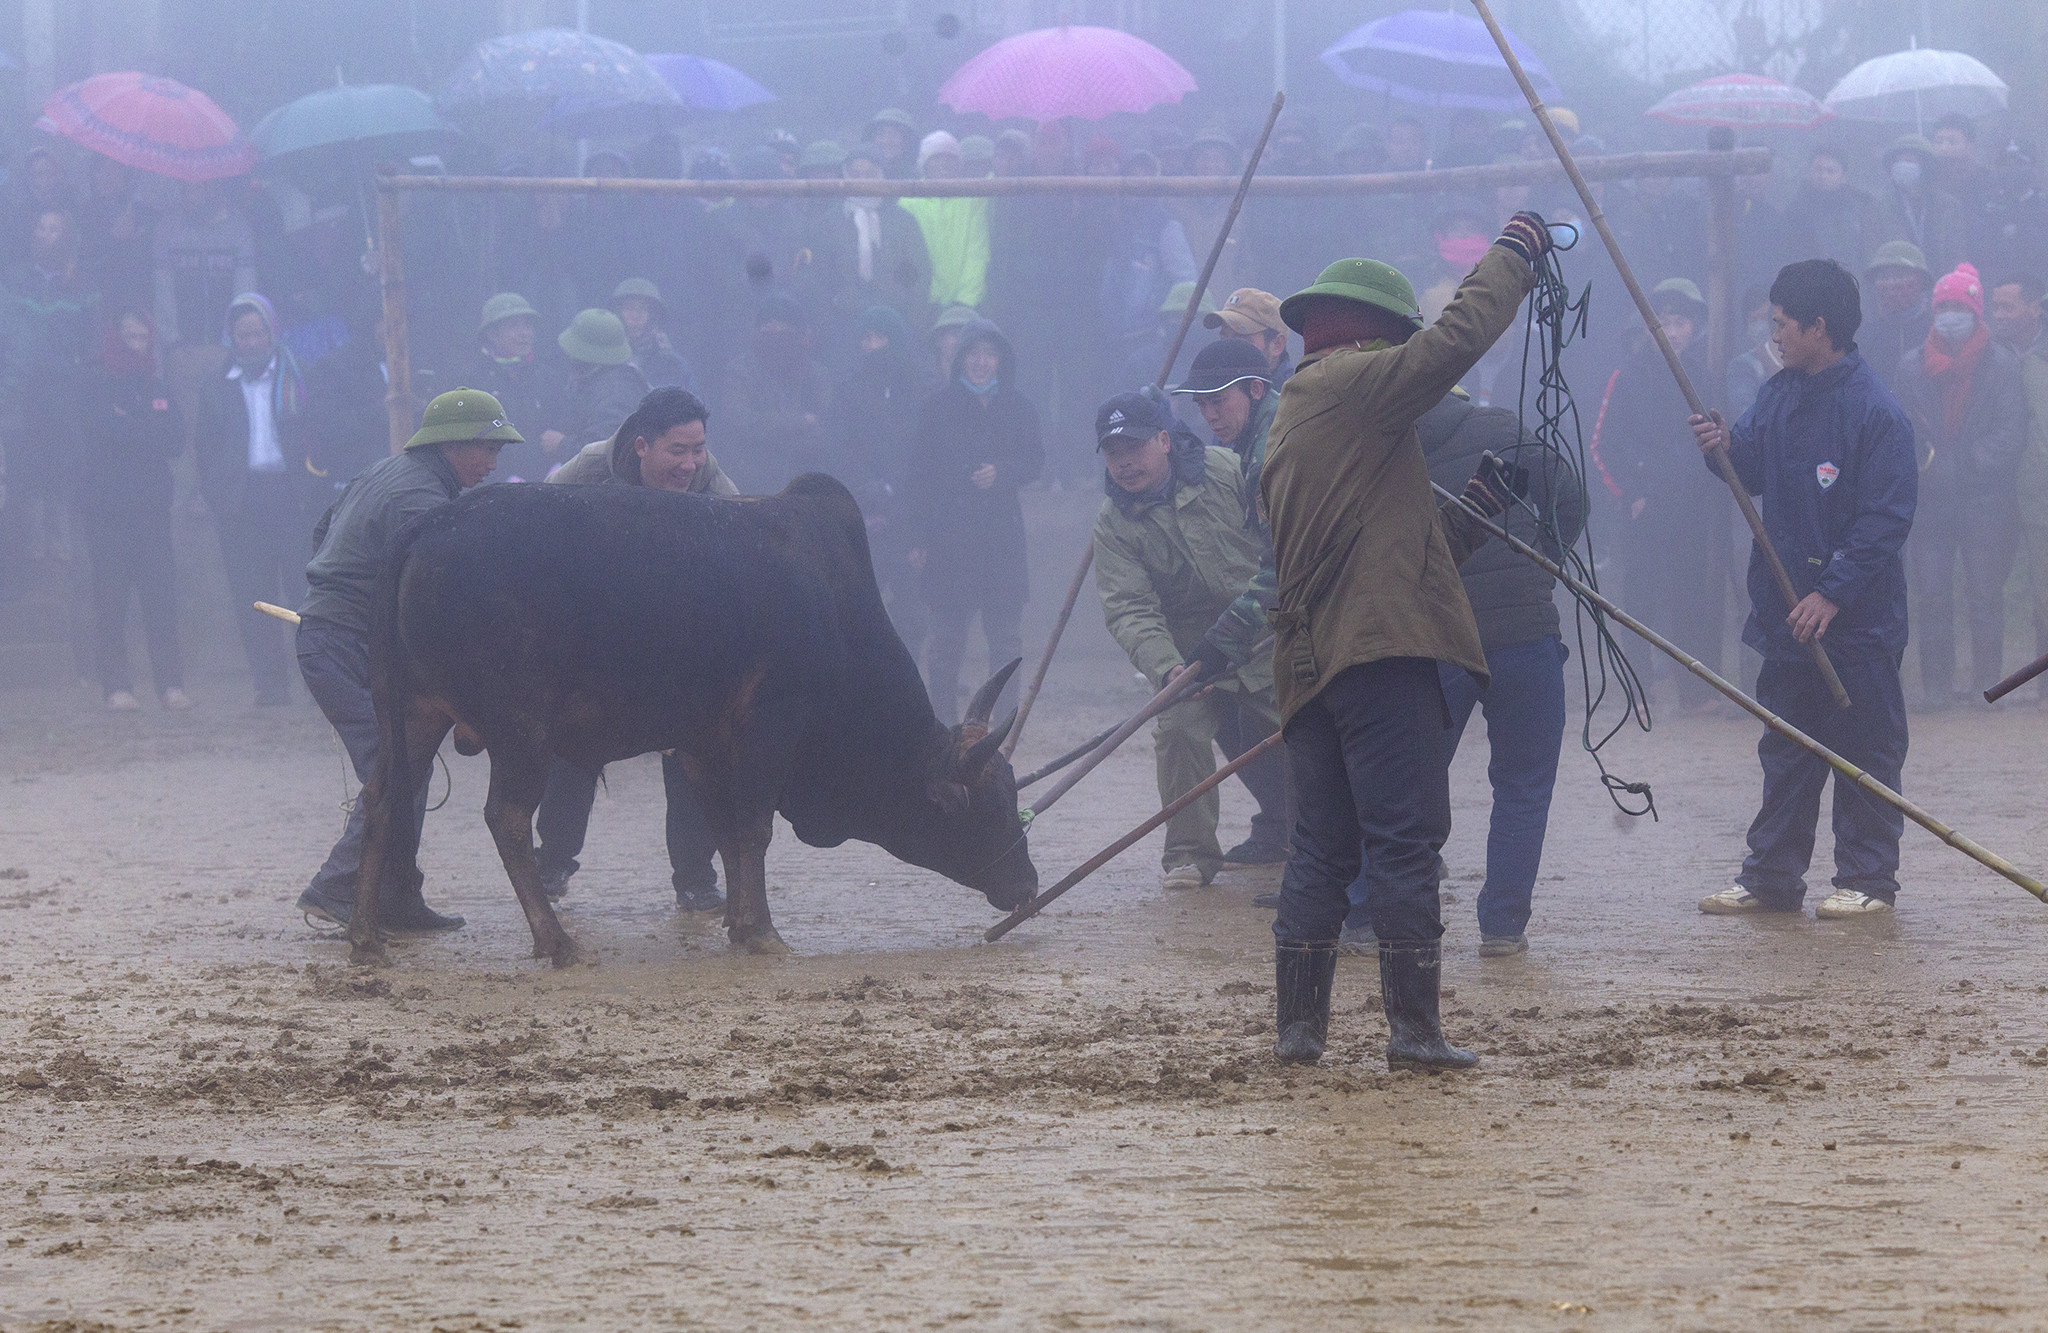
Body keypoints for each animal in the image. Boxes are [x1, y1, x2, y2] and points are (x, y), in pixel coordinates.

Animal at [350, 475, 1040, 966]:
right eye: (989, 808)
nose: (1028, 887)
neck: (839, 618)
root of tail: (426, 527)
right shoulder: (771, 726)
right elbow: (754, 827)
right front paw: (764, 932)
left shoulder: (703, 744)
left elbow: (725, 831)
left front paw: (737, 921)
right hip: (521, 731)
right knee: (508, 820)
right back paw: (557, 941)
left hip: (411, 715)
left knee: (381, 801)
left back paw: (366, 937)